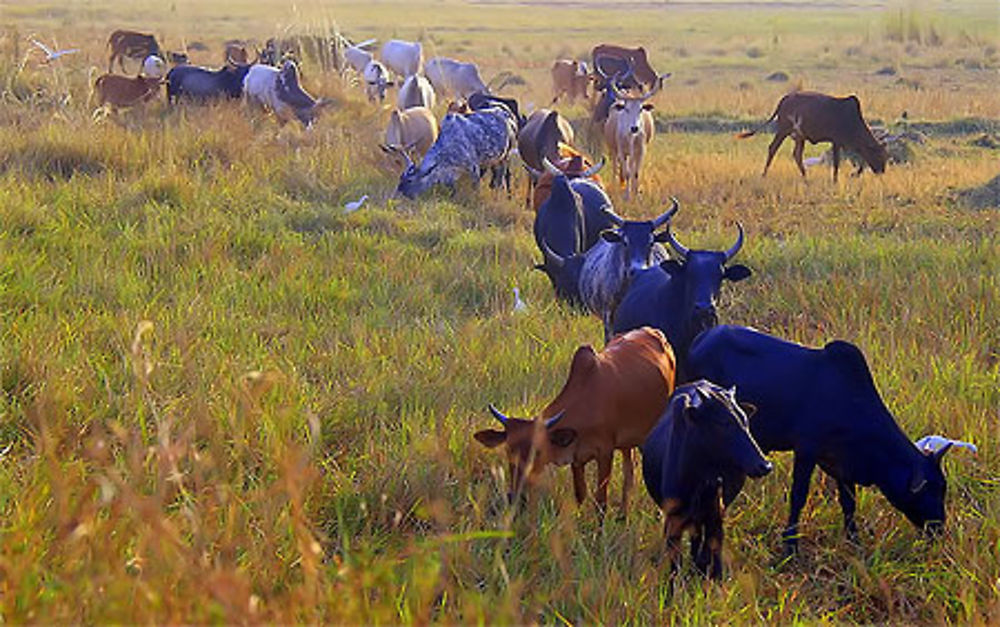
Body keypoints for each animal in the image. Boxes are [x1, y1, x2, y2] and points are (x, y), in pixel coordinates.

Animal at [474, 326, 676, 516]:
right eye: (509, 451)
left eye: (537, 452)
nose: (516, 495)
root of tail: (653, 331)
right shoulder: (576, 458)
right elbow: (580, 495)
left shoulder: (605, 453)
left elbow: (601, 502)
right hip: (626, 441)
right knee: (629, 470)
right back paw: (623, 514)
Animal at [640, 380, 772, 580]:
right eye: (724, 423)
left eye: (746, 421)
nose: (764, 465)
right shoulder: (673, 520)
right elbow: (674, 566)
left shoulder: (716, 517)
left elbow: (713, 555)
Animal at [688, 326, 960, 556]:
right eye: (934, 488)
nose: (938, 528)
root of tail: (701, 339)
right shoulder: (806, 451)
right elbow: (798, 497)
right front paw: (791, 547)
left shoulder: (843, 464)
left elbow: (849, 503)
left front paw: (854, 540)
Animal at [736, 89, 892, 182]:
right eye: (878, 155)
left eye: (885, 155)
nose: (881, 171)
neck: (852, 120)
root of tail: (785, 99)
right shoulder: (837, 141)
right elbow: (837, 163)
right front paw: (835, 181)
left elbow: (861, 161)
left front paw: (854, 174)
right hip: (784, 130)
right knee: (773, 148)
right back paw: (764, 175)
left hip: (800, 137)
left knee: (797, 155)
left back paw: (806, 178)